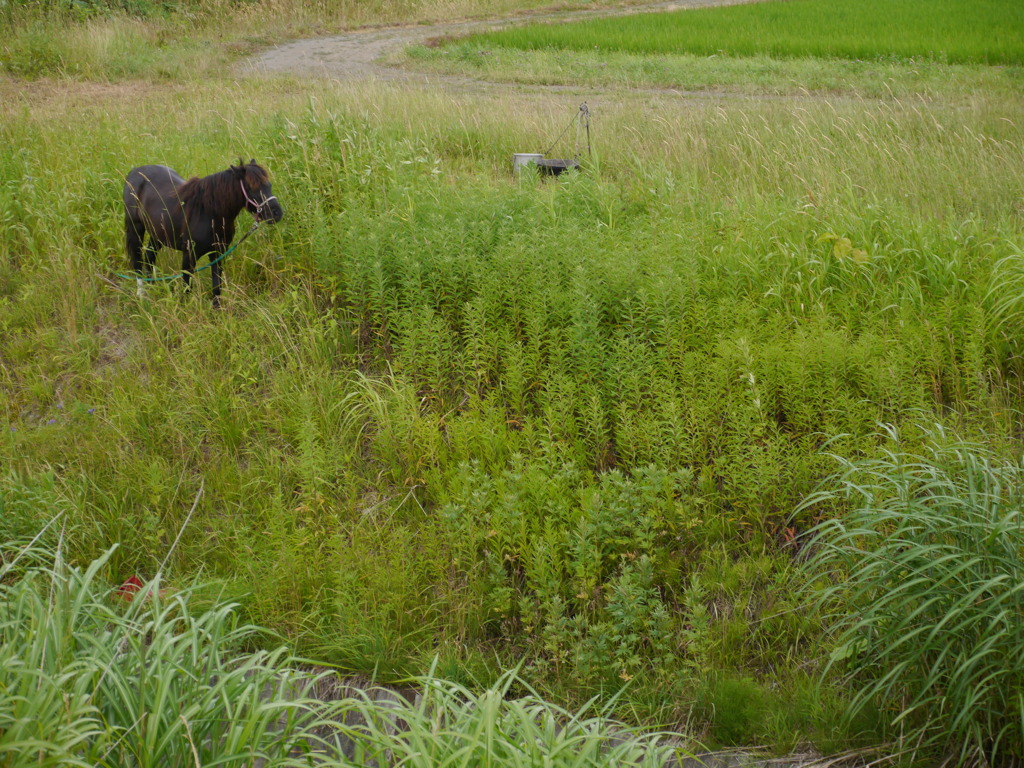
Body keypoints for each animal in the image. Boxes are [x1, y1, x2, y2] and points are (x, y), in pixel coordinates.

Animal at [123, 158, 284, 303]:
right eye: (251, 188)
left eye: (269, 185)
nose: (276, 213)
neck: (209, 213)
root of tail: (134, 172)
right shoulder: (189, 255)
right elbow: (187, 286)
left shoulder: (218, 253)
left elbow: (217, 286)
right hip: (136, 228)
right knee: (137, 260)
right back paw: (142, 295)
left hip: (158, 233)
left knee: (149, 256)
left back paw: (152, 287)